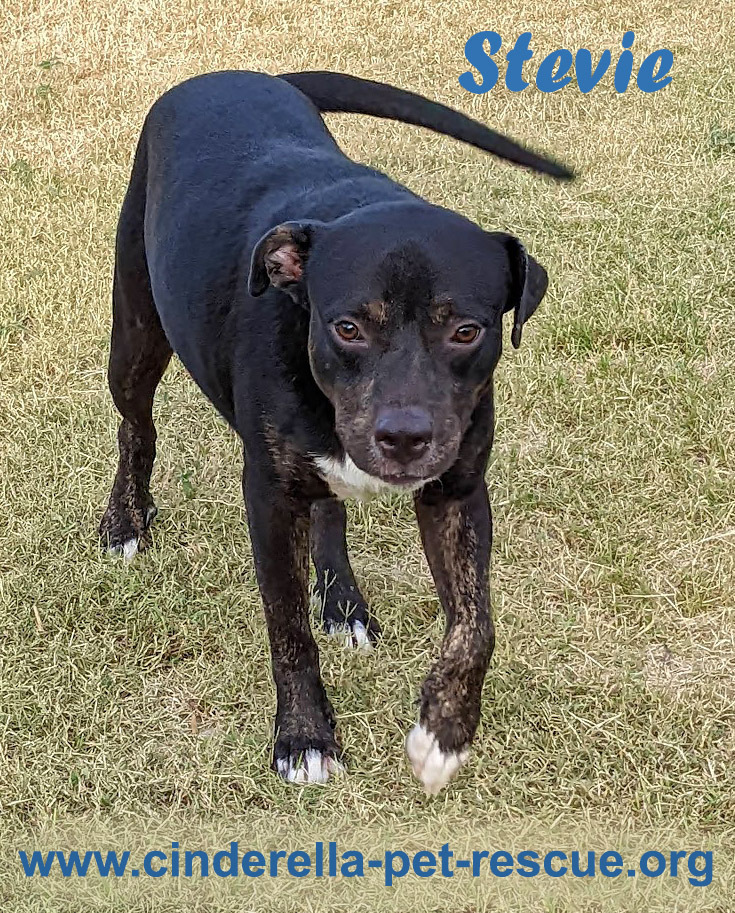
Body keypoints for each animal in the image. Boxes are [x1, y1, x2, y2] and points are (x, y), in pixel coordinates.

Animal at [98, 69, 572, 792]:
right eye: (347, 327)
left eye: (466, 331)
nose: (403, 435)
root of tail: (242, 72)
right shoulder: (268, 496)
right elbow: (286, 625)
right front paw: (304, 737)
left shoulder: (457, 491)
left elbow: (476, 622)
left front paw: (444, 732)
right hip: (135, 334)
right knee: (135, 427)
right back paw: (126, 518)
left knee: (328, 509)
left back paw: (342, 602)